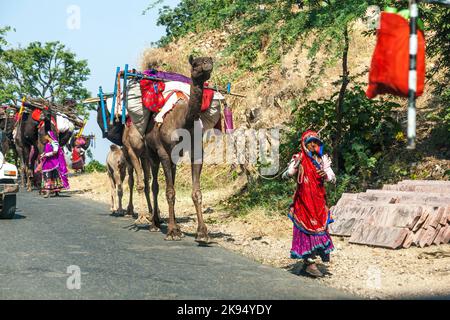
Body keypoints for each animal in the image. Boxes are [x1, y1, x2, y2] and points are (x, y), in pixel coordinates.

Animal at [143, 56, 215, 241]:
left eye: (209, 59)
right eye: (195, 63)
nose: (207, 64)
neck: (184, 122)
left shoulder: (196, 152)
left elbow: (196, 192)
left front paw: (202, 233)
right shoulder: (163, 152)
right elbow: (169, 192)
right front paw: (172, 232)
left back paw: (176, 226)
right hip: (151, 152)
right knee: (155, 185)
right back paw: (155, 224)